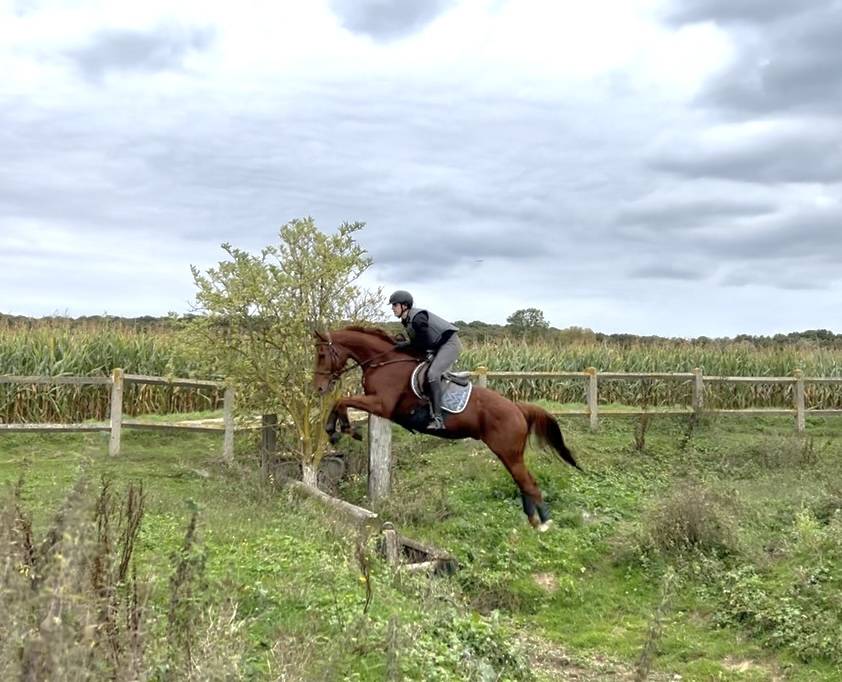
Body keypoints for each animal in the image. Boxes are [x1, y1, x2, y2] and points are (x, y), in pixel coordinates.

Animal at [312, 326, 581, 530]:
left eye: (322, 354)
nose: (319, 387)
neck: (384, 362)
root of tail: (517, 408)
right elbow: (339, 402)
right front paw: (337, 430)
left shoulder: (382, 404)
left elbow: (341, 400)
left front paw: (341, 430)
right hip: (509, 455)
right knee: (524, 483)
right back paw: (535, 521)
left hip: (508, 452)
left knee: (529, 484)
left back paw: (544, 524)